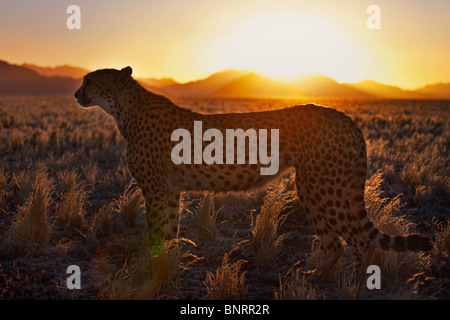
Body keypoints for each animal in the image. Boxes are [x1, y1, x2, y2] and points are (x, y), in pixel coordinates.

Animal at [74, 66, 432, 276]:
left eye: (89, 81)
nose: (76, 94)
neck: (124, 108)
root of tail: (344, 116)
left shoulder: (156, 191)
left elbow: (156, 234)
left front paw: (150, 268)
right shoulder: (170, 192)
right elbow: (168, 232)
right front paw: (164, 265)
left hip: (322, 187)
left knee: (360, 241)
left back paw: (353, 287)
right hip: (313, 188)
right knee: (335, 243)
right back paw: (316, 280)